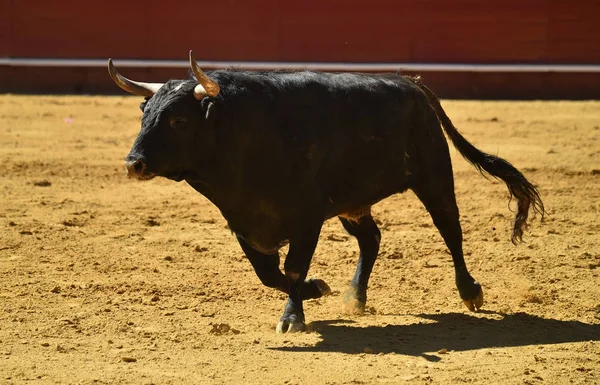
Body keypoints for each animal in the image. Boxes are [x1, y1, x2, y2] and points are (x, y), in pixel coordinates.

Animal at [106, 54, 544, 332]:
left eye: (178, 120)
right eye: (145, 115)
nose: (133, 163)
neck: (242, 132)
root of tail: (411, 84)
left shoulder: (307, 216)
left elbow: (292, 268)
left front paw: (292, 318)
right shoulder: (244, 223)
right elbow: (269, 274)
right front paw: (317, 290)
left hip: (433, 175)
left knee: (450, 229)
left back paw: (470, 291)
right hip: (355, 202)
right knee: (372, 239)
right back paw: (355, 297)